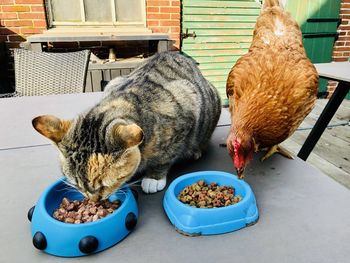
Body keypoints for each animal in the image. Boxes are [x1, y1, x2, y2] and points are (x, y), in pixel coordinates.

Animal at [31, 52, 220, 202]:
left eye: (104, 185)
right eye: (77, 185)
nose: (94, 201)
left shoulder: (184, 110)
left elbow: (165, 156)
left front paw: (153, 178)